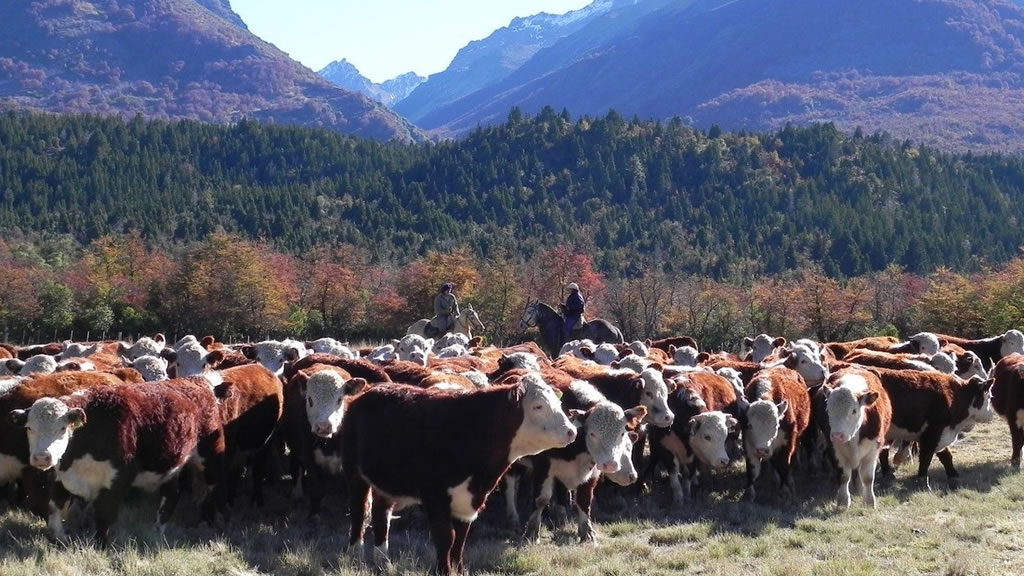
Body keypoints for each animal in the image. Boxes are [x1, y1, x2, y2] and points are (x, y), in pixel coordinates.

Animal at [9, 377, 227, 541]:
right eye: (29, 428)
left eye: (62, 429)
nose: (42, 457)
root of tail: (198, 381)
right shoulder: (61, 476)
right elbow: (54, 510)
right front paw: (61, 539)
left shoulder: (118, 479)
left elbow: (104, 516)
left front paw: (100, 546)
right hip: (171, 466)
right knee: (171, 495)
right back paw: (157, 530)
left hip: (210, 456)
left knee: (213, 487)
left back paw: (207, 521)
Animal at [339, 368, 573, 569]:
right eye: (538, 406)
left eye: (557, 403)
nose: (571, 431)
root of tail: (368, 393)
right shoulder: (435, 497)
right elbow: (446, 539)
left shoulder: (468, 501)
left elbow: (459, 542)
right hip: (354, 473)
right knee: (359, 512)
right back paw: (355, 554)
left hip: (386, 482)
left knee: (380, 513)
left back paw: (382, 559)